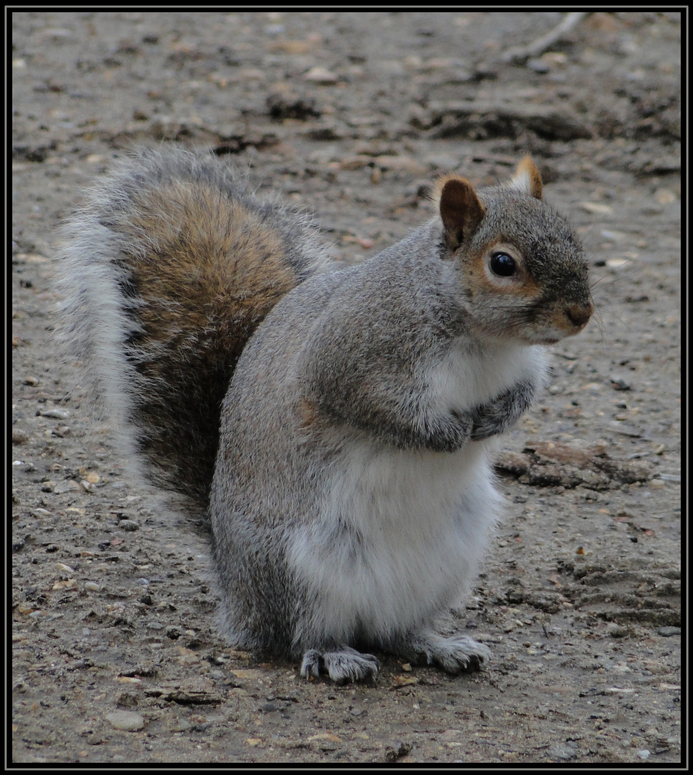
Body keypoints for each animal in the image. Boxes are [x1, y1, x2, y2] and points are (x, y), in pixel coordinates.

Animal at [56, 147, 592, 684]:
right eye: (502, 263)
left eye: (572, 233)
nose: (581, 314)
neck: (484, 340)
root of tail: (235, 592)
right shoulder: (347, 357)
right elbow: (378, 408)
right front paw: (444, 432)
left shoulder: (523, 366)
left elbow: (524, 394)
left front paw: (496, 419)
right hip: (301, 570)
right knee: (303, 635)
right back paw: (336, 655)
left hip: (448, 561)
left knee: (394, 633)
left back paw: (438, 645)